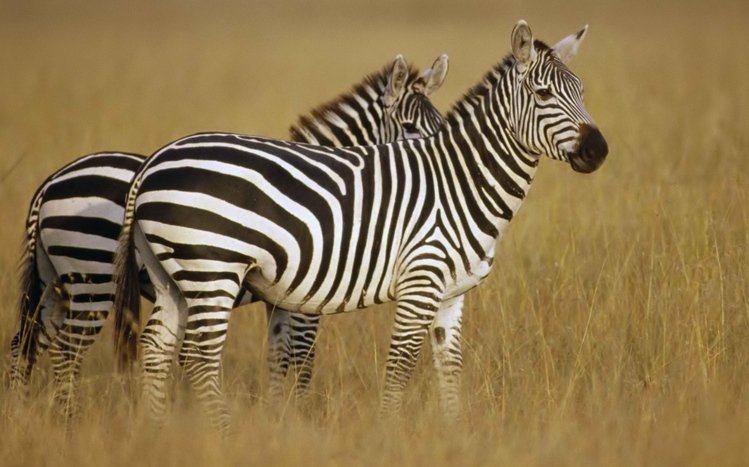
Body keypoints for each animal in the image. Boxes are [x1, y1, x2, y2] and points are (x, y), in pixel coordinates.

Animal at [9, 54, 449, 419]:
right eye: (410, 128)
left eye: (442, 127)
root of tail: (49, 185)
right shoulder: (308, 300)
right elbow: (302, 359)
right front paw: (299, 417)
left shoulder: (281, 299)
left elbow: (278, 357)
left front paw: (278, 417)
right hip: (94, 278)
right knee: (66, 351)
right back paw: (68, 420)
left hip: (56, 284)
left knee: (25, 344)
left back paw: (24, 415)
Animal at [112, 20, 608, 432]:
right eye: (543, 95)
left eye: (582, 91)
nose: (598, 150)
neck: (459, 183)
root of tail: (154, 161)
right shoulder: (415, 283)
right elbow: (396, 365)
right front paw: (385, 435)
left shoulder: (451, 295)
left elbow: (449, 369)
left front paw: (454, 436)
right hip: (211, 270)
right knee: (199, 357)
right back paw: (224, 432)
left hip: (172, 276)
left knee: (156, 346)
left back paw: (158, 430)